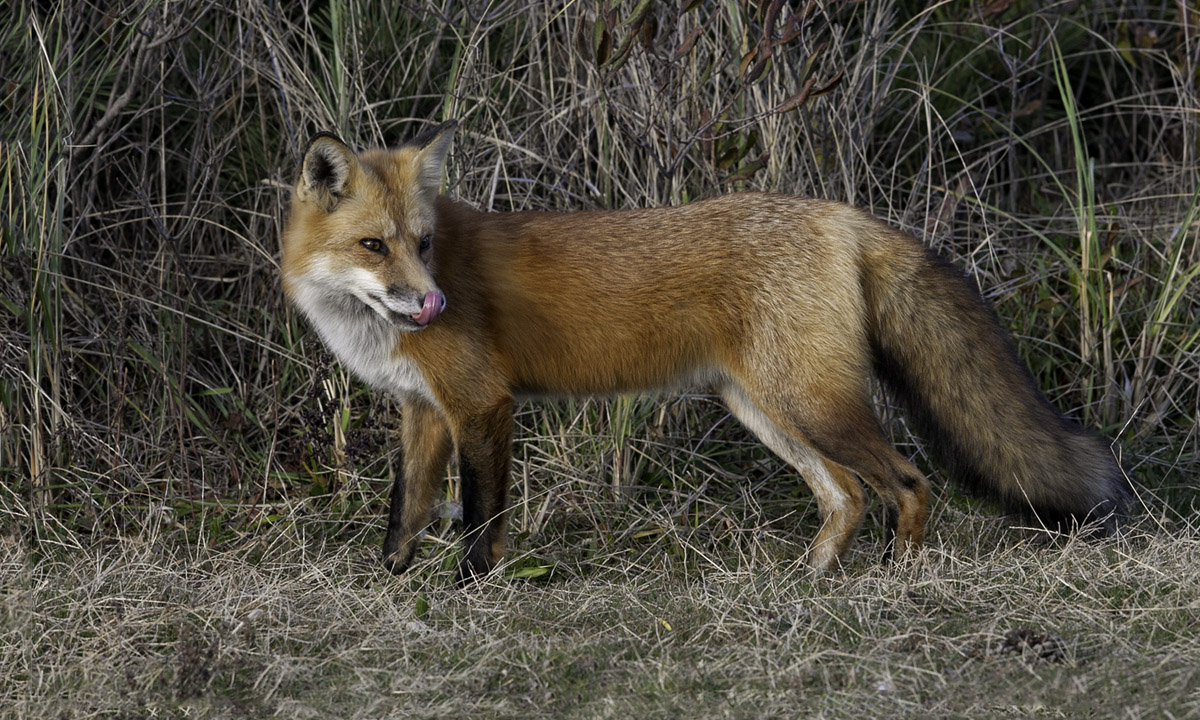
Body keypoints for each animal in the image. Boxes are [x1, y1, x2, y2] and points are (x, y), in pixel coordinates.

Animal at [281, 119, 1129, 584]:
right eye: (374, 246)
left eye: (423, 244)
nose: (432, 304)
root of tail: (841, 214)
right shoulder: (423, 411)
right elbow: (406, 514)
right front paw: (390, 586)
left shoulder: (481, 404)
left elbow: (479, 521)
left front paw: (467, 592)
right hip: (764, 409)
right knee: (847, 495)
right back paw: (811, 580)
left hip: (808, 404)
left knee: (908, 483)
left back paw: (895, 579)